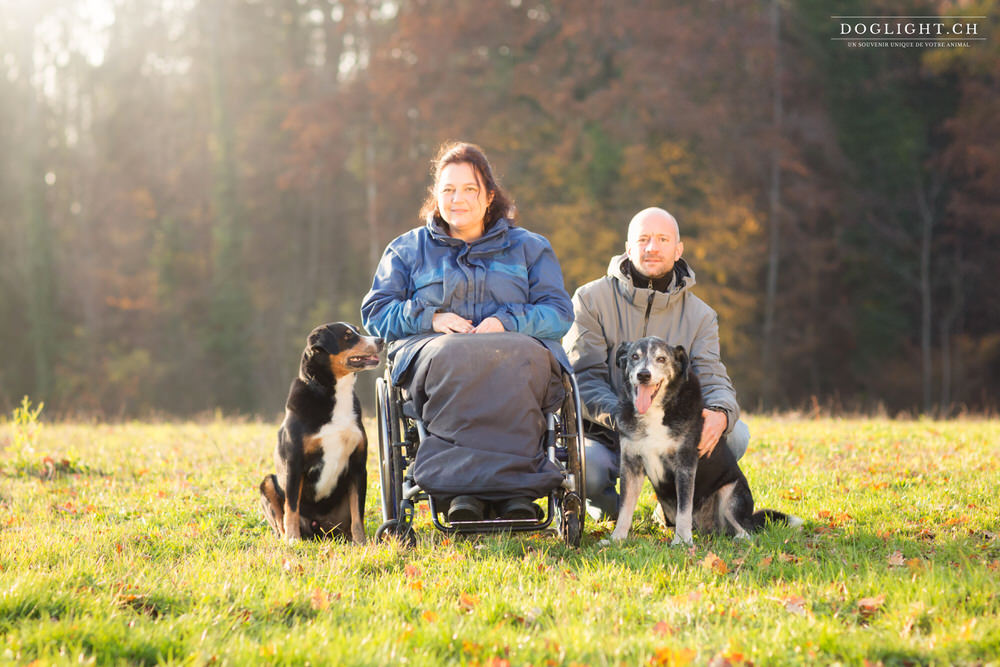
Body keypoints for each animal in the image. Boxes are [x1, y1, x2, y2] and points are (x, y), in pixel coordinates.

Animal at [258, 320, 382, 544]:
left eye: (358, 331)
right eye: (348, 335)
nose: (381, 340)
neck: (333, 393)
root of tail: (319, 531)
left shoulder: (358, 466)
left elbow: (357, 514)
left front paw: (362, 543)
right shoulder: (294, 464)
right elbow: (291, 508)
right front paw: (293, 540)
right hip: (268, 483)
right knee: (280, 520)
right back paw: (286, 538)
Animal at [604, 336, 800, 544]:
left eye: (661, 359)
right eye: (634, 356)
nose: (643, 375)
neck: (656, 412)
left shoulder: (685, 465)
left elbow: (684, 509)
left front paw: (682, 542)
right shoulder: (631, 464)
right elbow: (625, 508)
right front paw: (616, 538)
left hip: (730, 494)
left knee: (746, 530)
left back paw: (739, 538)